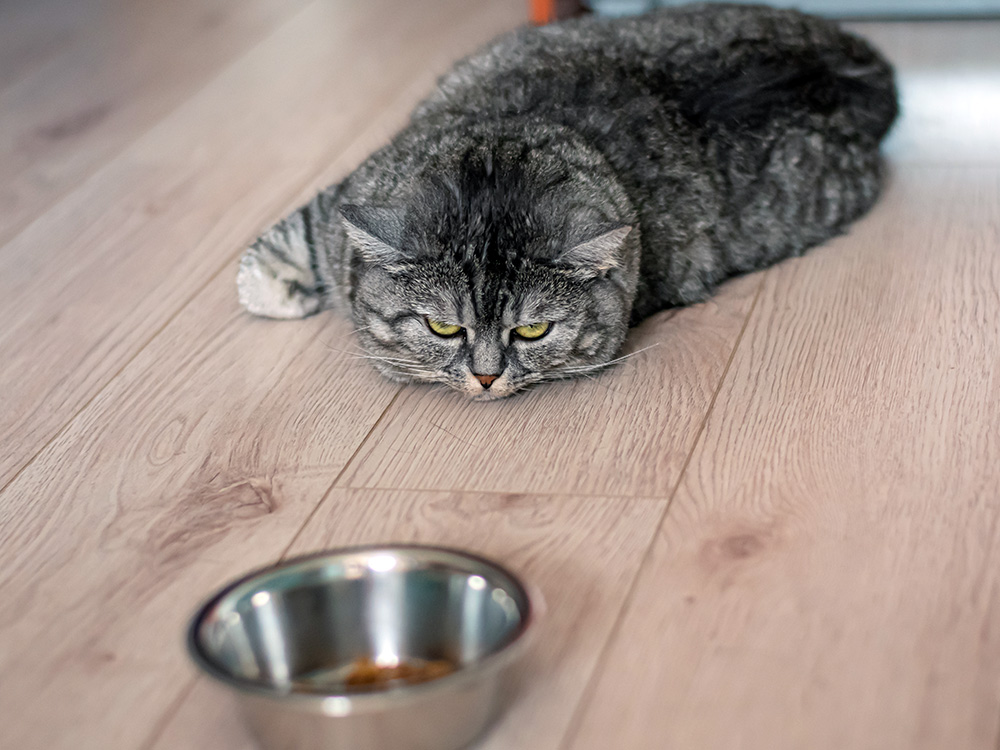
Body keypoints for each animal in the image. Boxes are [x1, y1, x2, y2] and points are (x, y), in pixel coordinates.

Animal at [236, 2, 900, 402]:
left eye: (533, 331)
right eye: (443, 326)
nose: (486, 376)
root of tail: (862, 59)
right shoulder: (343, 201)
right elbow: (277, 249)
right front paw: (285, 290)